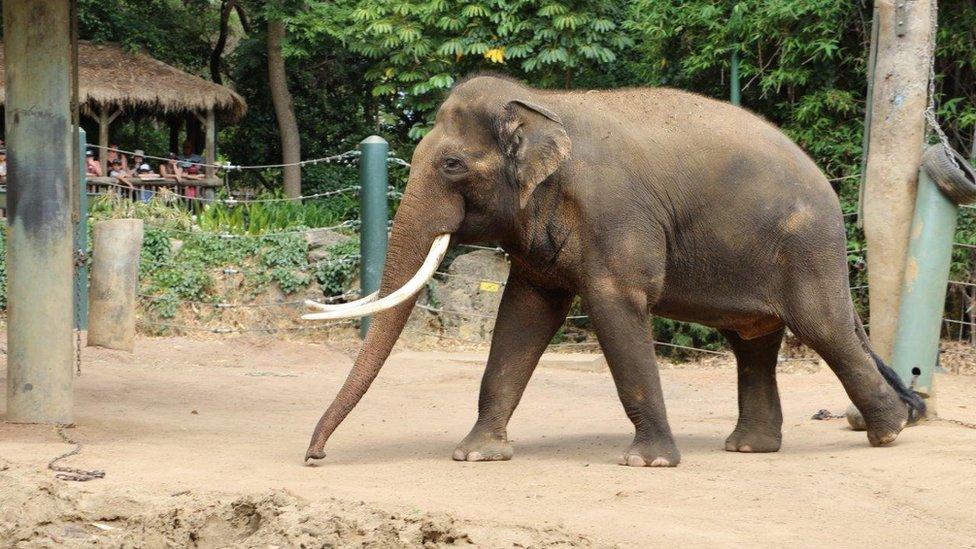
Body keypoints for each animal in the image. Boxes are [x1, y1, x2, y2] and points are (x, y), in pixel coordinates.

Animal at [304, 73, 924, 466]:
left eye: (452, 164)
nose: (314, 456)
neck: (541, 105)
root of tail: (828, 184)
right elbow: (523, 313)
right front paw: (475, 455)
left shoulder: (614, 215)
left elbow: (615, 305)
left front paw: (647, 463)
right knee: (753, 340)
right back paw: (751, 447)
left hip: (808, 249)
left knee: (825, 328)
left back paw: (888, 431)